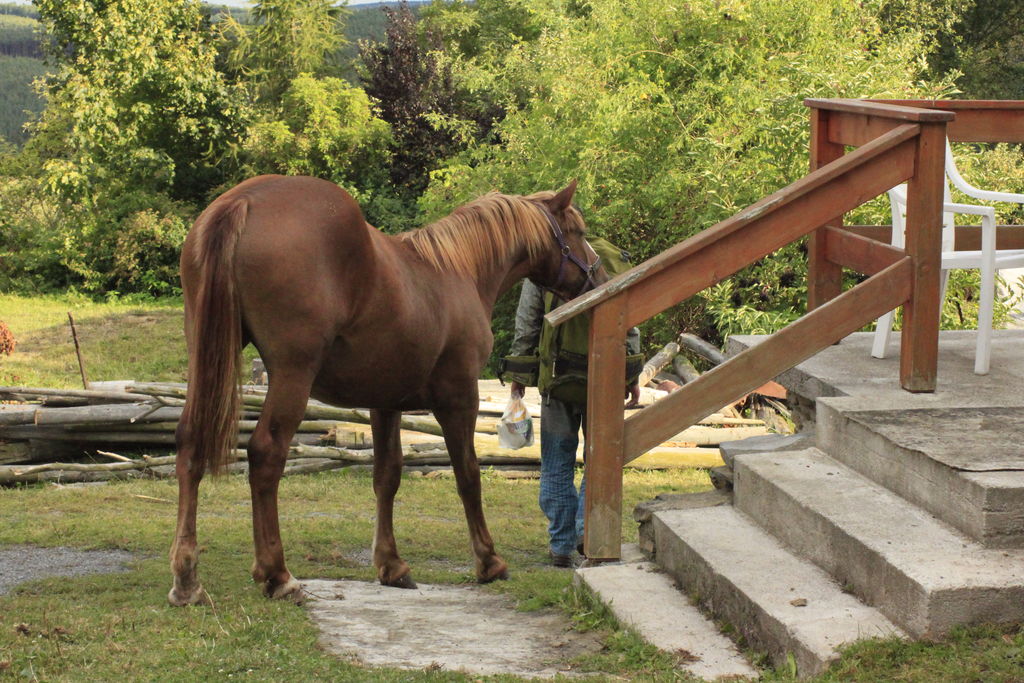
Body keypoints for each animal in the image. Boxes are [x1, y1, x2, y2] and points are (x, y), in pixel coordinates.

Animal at [165, 175, 598, 602]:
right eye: (577, 231)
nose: (594, 275)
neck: (459, 272)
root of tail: (244, 200)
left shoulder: (385, 403)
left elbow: (386, 476)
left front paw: (391, 565)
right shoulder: (459, 398)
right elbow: (468, 475)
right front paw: (489, 561)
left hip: (204, 356)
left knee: (190, 442)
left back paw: (187, 578)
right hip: (292, 374)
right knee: (266, 454)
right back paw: (278, 575)